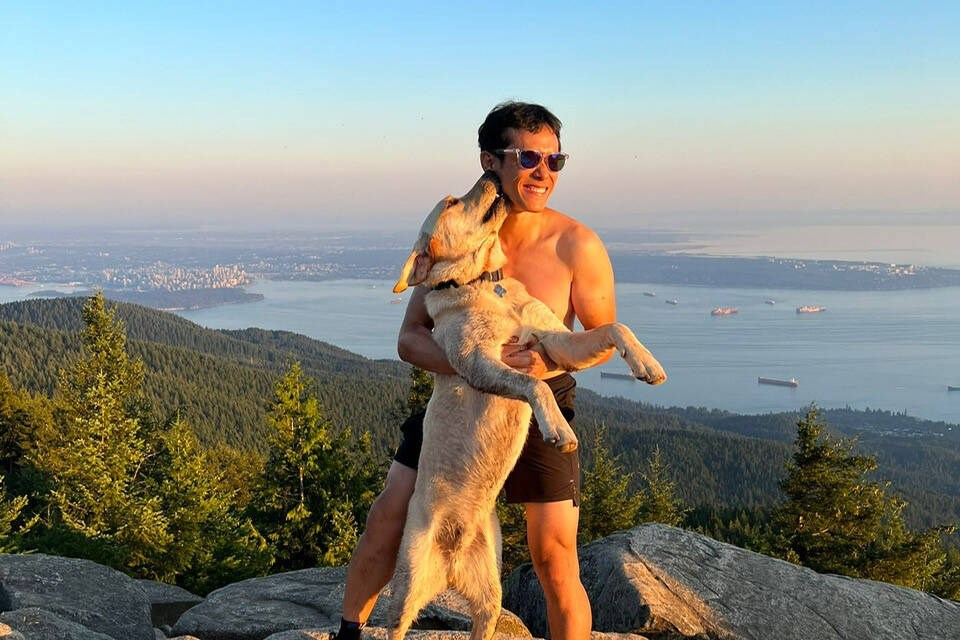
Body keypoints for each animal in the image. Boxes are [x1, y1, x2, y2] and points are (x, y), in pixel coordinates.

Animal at [386, 170, 664, 640]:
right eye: (450, 202)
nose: (488, 175)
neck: (485, 281)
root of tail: (450, 560)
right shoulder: (478, 362)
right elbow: (534, 384)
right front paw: (558, 429)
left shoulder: (558, 342)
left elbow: (614, 327)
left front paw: (647, 363)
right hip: (405, 587)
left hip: (489, 598)